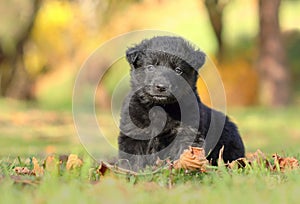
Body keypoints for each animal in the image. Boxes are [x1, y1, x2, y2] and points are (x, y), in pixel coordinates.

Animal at [117, 35, 244, 171]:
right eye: (150, 67)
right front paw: (131, 172)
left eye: (178, 70)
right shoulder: (133, 133)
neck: (160, 108)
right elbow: (132, 159)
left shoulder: (187, 133)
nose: (161, 86)